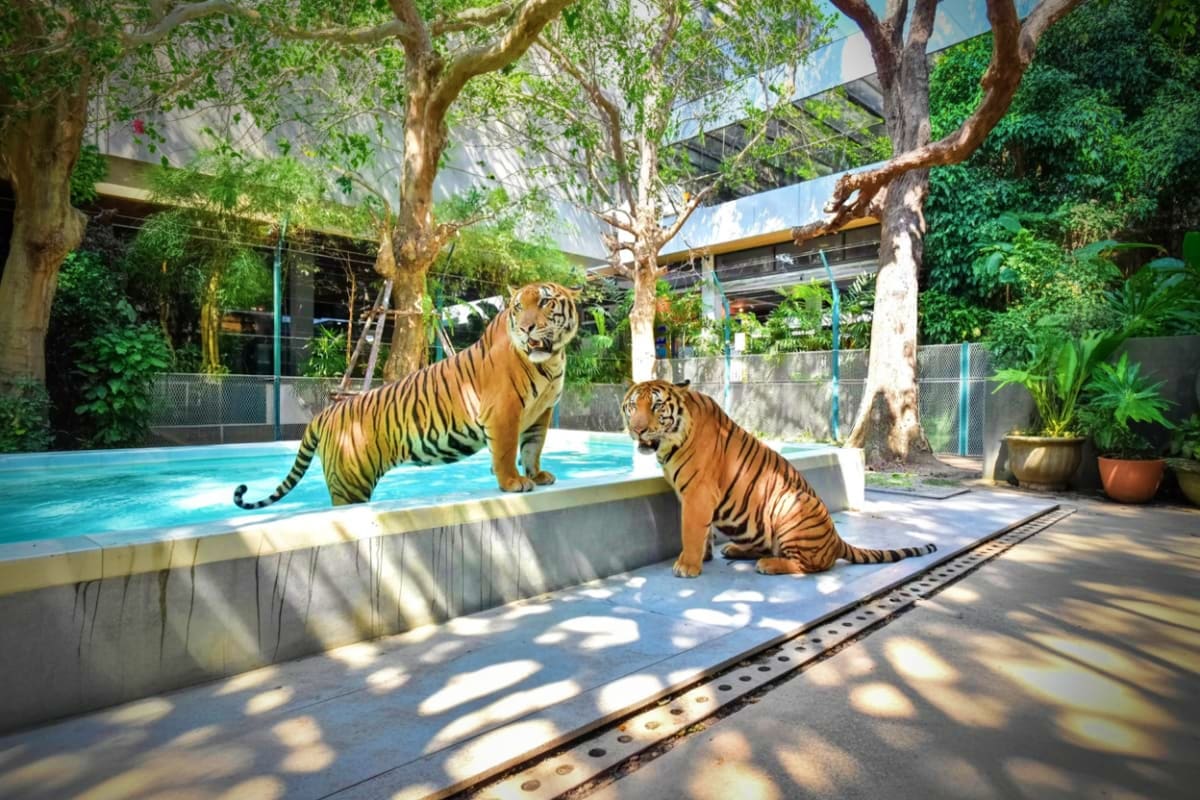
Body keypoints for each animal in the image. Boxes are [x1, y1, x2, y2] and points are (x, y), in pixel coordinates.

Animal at [233, 281, 580, 508]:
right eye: (519, 307)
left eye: (545, 302)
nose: (526, 328)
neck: (551, 360)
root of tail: (326, 412)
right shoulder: (503, 411)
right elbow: (507, 451)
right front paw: (512, 482)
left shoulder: (541, 412)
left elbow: (533, 448)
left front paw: (538, 474)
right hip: (349, 484)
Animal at [621, 379, 936, 578]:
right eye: (633, 406)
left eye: (657, 407)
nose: (637, 430)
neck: (671, 441)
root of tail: (836, 540)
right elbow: (703, 532)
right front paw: (704, 557)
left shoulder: (698, 494)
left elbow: (691, 530)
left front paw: (687, 566)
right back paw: (736, 550)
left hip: (790, 502)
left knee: (812, 566)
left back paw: (769, 565)